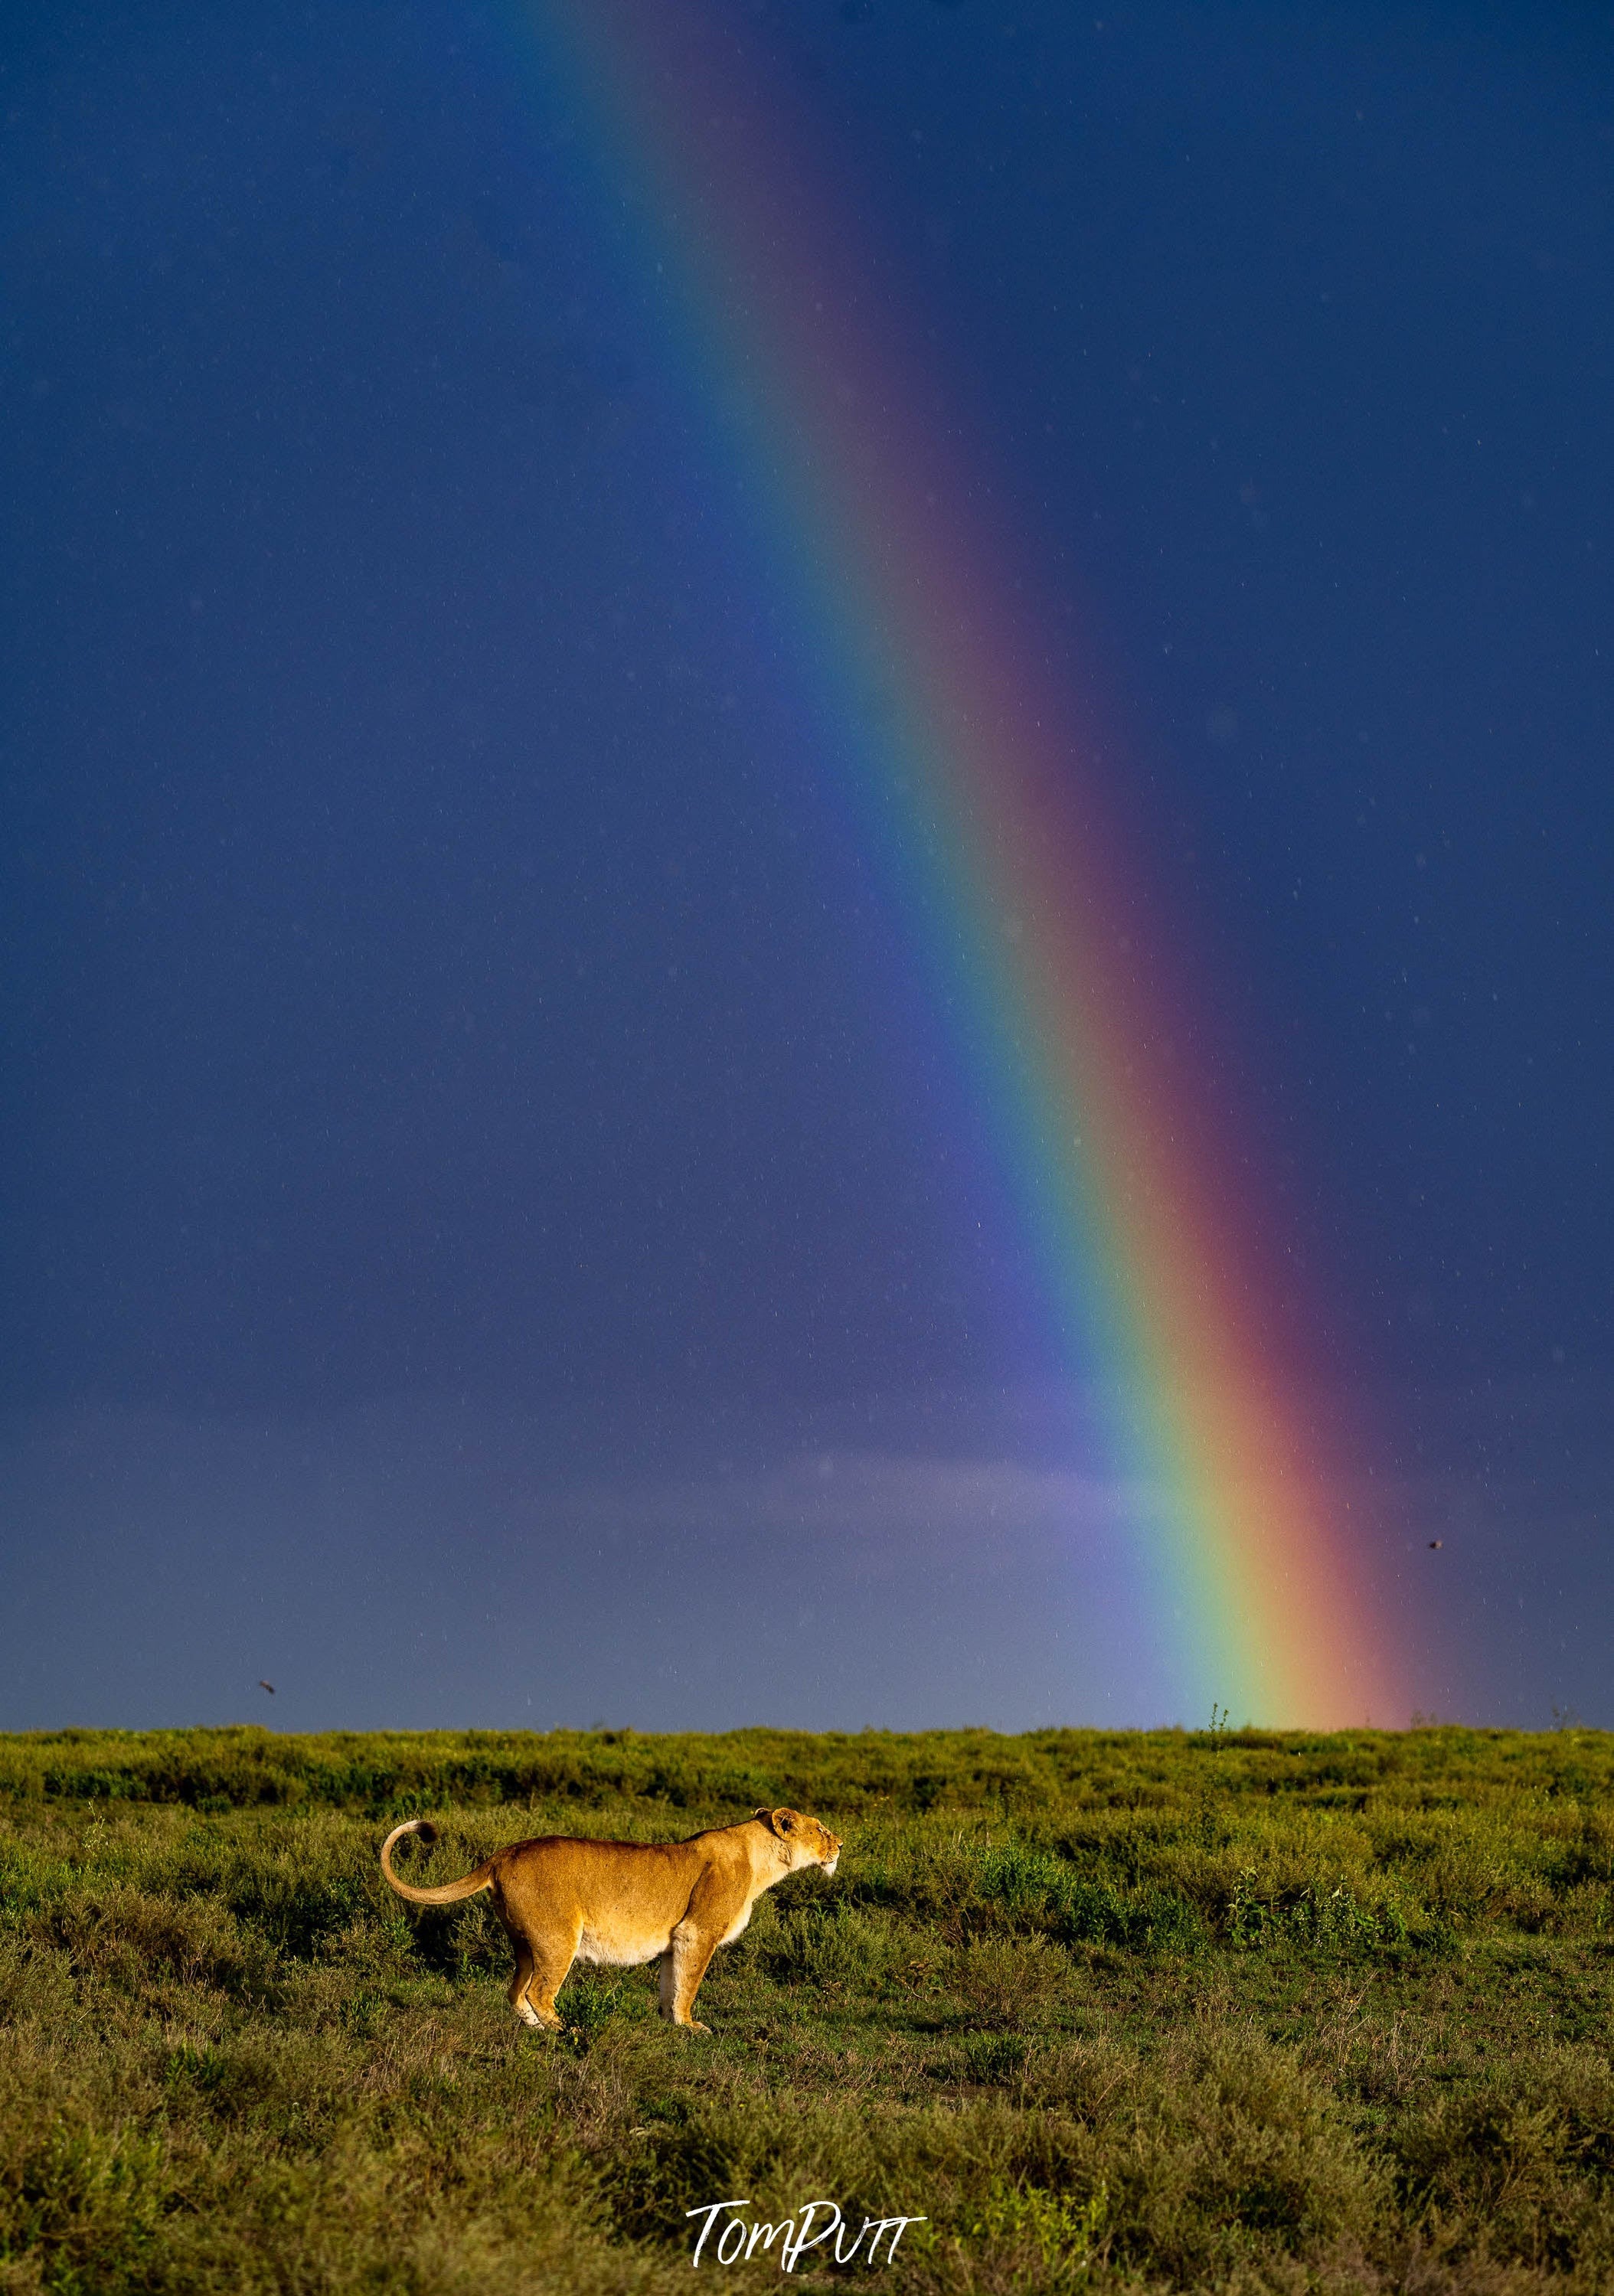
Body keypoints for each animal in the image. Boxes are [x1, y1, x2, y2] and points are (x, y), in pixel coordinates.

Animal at [374, 1809, 840, 2030]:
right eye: (820, 1829)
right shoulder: (698, 1932)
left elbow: (671, 1984)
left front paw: (671, 2025)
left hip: (525, 1942)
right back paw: (567, 2033)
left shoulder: (676, 1938)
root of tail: (503, 1853)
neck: (761, 1859)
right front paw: (692, 2026)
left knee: (516, 1992)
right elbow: (689, 1985)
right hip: (557, 1937)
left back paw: (536, 2032)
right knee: (540, 1992)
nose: (841, 1843)